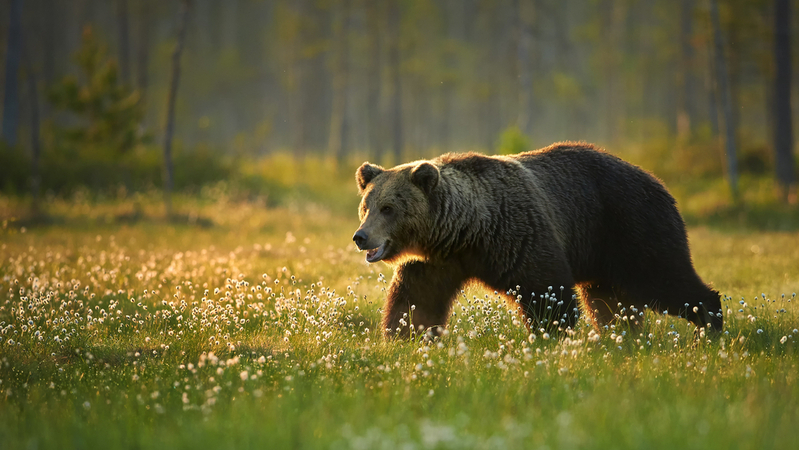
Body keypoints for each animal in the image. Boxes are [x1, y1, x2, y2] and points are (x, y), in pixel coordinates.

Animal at [354, 142, 720, 336]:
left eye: (389, 208)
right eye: (366, 206)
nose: (361, 237)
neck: (465, 232)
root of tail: (659, 183)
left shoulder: (518, 235)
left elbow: (546, 291)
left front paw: (550, 336)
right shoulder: (435, 262)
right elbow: (416, 299)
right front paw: (405, 335)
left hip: (631, 227)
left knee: (665, 279)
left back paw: (709, 326)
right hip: (604, 257)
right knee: (609, 303)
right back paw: (620, 337)